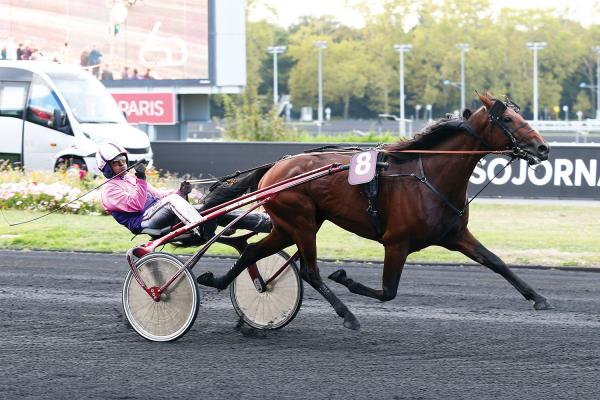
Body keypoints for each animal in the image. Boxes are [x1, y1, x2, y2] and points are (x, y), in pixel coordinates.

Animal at [198, 94, 552, 332]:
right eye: (508, 120)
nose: (543, 148)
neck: (430, 176)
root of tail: (275, 166)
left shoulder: (455, 234)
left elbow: (496, 262)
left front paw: (538, 297)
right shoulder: (397, 243)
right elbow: (387, 292)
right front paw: (345, 278)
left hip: (289, 225)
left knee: (252, 251)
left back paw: (225, 284)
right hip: (301, 222)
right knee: (310, 271)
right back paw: (347, 315)